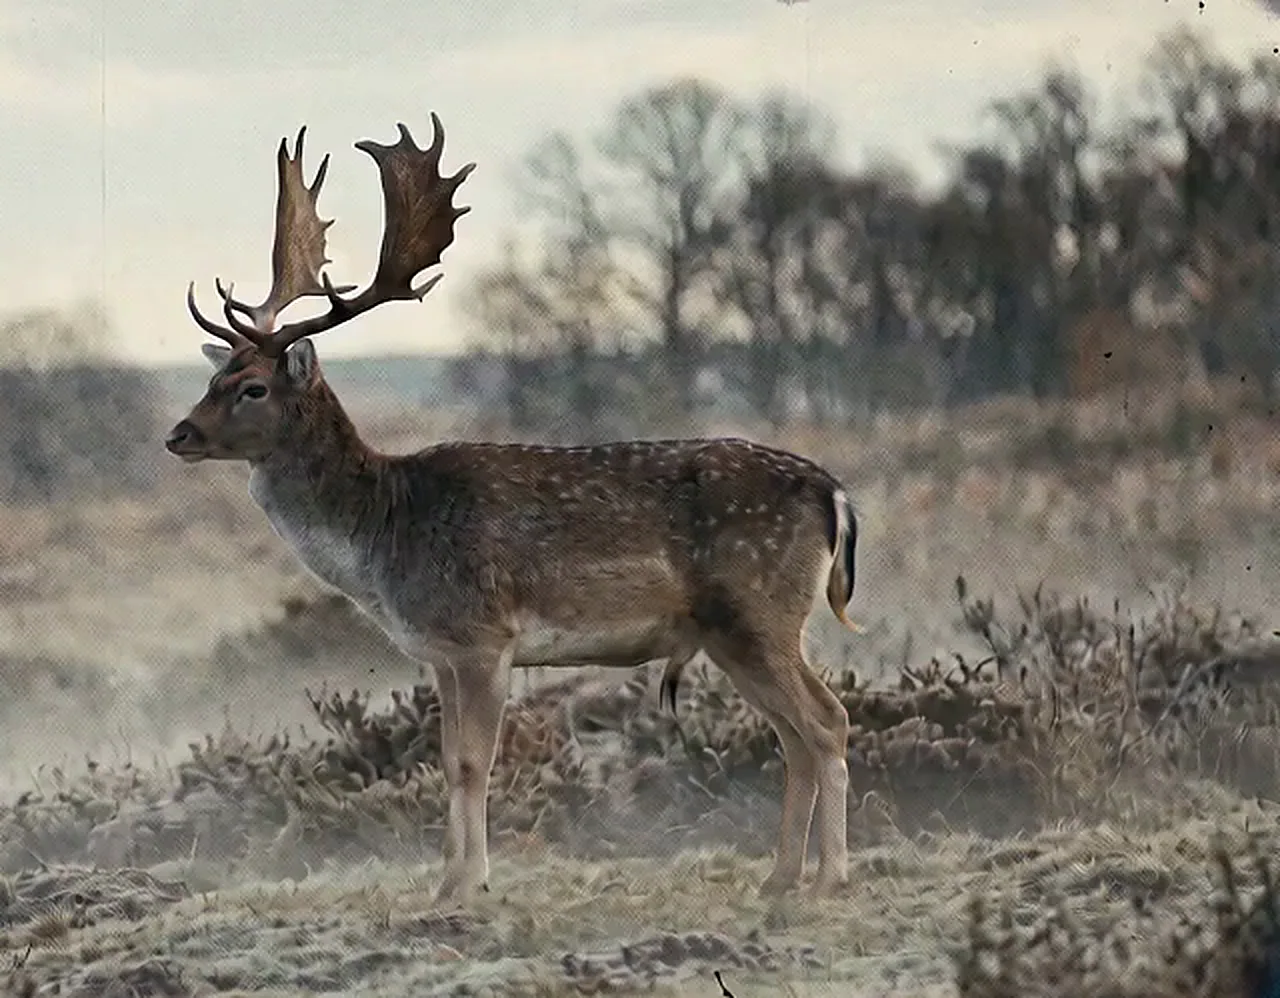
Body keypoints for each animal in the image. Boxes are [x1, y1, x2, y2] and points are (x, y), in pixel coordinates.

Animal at [164, 113, 861, 907]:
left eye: (251, 387)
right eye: (214, 376)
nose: (178, 434)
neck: (386, 533)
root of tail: (833, 492)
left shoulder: (483, 636)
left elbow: (474, 763)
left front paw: (469, 884)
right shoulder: (437, 653)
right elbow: (445, 762)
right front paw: (448, 881)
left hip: (761, 609)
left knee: (828, 722)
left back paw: (831, 876)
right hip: (732, 631)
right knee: (795, 734)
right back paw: (780, 877)